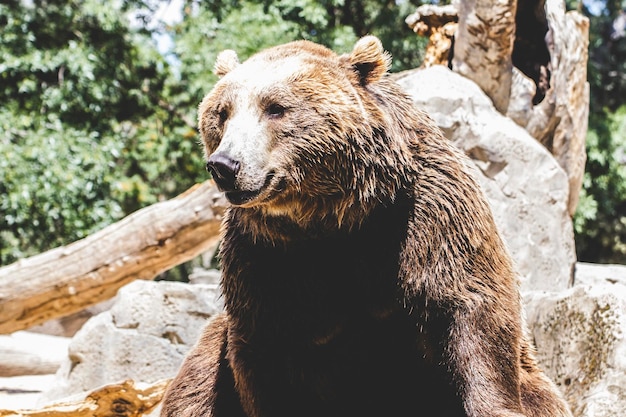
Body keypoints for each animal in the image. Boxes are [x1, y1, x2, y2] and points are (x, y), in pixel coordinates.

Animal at [160, 35, 572, 416]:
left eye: (275, 108)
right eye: (222, 112)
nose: (225, 164)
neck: (331, 215)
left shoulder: (428, 217)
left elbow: (472, 308)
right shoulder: (264, 250)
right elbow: (265, 347)